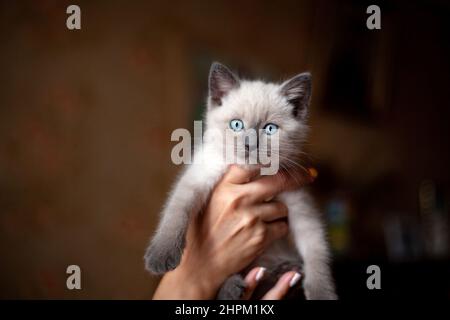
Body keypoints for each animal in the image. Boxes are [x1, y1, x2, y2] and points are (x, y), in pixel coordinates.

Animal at [144, 62, 338, 300]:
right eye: (236, 125)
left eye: (270, 129)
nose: (249, 145)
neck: (253, 174)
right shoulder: (200, 175)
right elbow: (176, 211)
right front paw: (161, 255)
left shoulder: (299, 203)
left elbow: (316, 250)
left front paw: (322, 292)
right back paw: (232, 288)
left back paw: (285, 271)